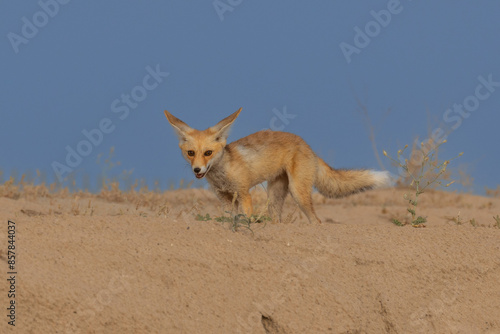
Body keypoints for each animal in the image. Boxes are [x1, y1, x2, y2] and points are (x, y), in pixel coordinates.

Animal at [163, 107, 390, 224]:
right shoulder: (225, 198)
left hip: (298, 192)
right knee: (277, 220)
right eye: (191, 153)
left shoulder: (244, 193)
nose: (197, 170)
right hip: (275, 197)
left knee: (316, 220)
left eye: (208, 153)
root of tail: (307, 145)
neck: (223, 173)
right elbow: (230, 218)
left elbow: (245, 217)